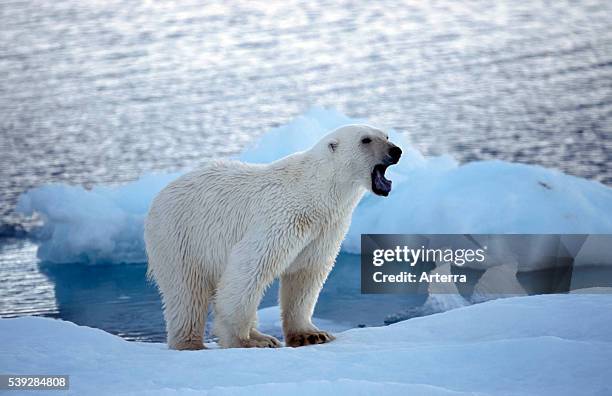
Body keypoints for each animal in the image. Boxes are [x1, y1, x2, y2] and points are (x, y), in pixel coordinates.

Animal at [144, 124, 402, 350]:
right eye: (365, 140)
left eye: (386, 135)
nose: (396, 151)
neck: (315, 193)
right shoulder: (280, 217)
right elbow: (249, 267)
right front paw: (243, 341)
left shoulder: (325, 230)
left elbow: (306, 275)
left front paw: (312, 335)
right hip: (179, 236)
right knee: (187, 292)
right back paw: (192, 343)